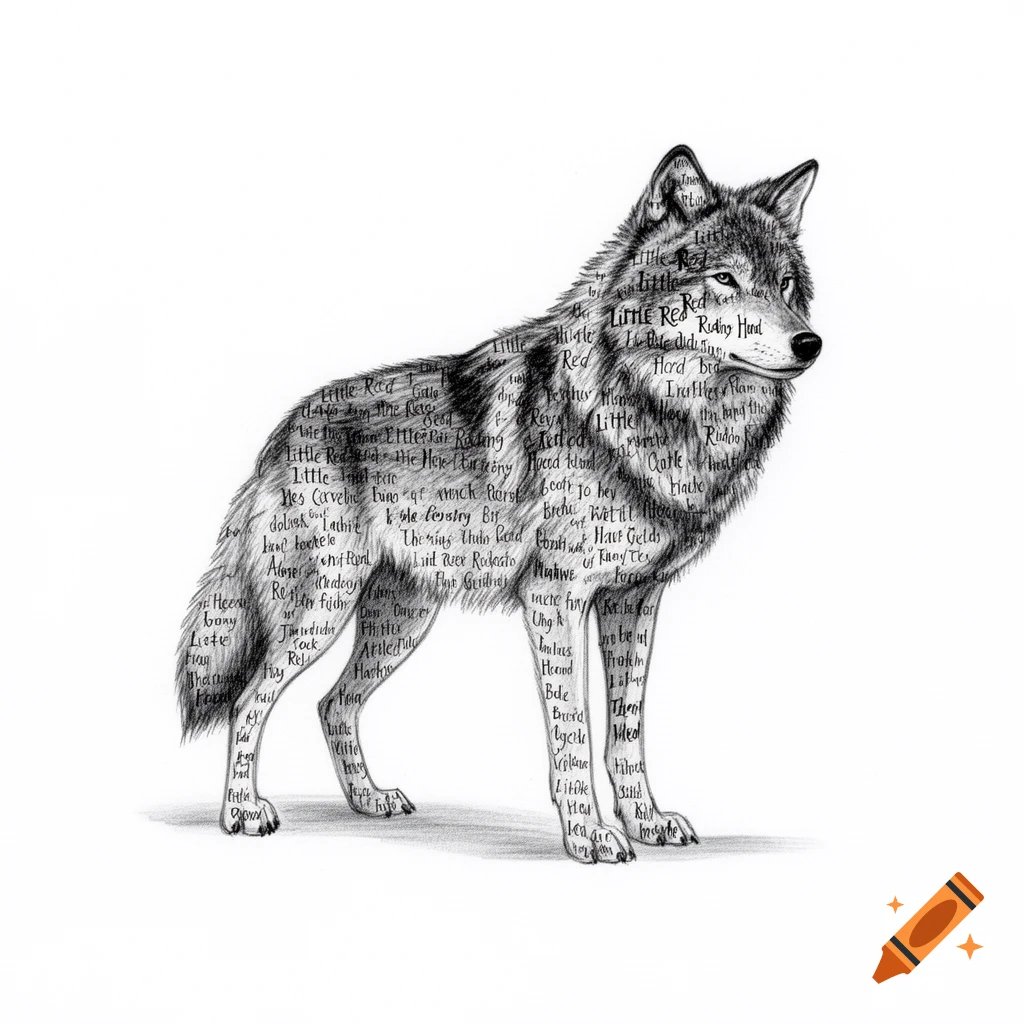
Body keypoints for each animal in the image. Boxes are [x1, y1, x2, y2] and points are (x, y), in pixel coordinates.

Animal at [177, 145, 821, 863]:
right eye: (725, 279)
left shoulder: (635, 599)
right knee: (250, 700)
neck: (655, 414)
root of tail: (284, 428)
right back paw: (242, 811)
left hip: (402, 621)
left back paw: (368, 799)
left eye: (786, 284)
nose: (810, 342)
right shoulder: (556, 597)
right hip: (322, 609)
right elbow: (573, 730)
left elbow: (625, 732)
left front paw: (645, 821)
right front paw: (588, 835)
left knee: (331, 704)